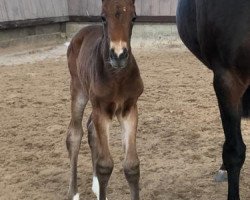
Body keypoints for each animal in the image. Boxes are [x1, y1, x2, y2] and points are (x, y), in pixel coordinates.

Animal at [65, 0, 143, 200]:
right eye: (103, 17)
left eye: (134, 17)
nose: (118, 55)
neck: (117, 77)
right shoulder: (101, 109)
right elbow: (105, 166)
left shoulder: (129, 109)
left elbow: (132, 166)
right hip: (78, 89)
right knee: (74, 134)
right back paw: (74, 193)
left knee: (91, 129)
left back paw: (95, 186)